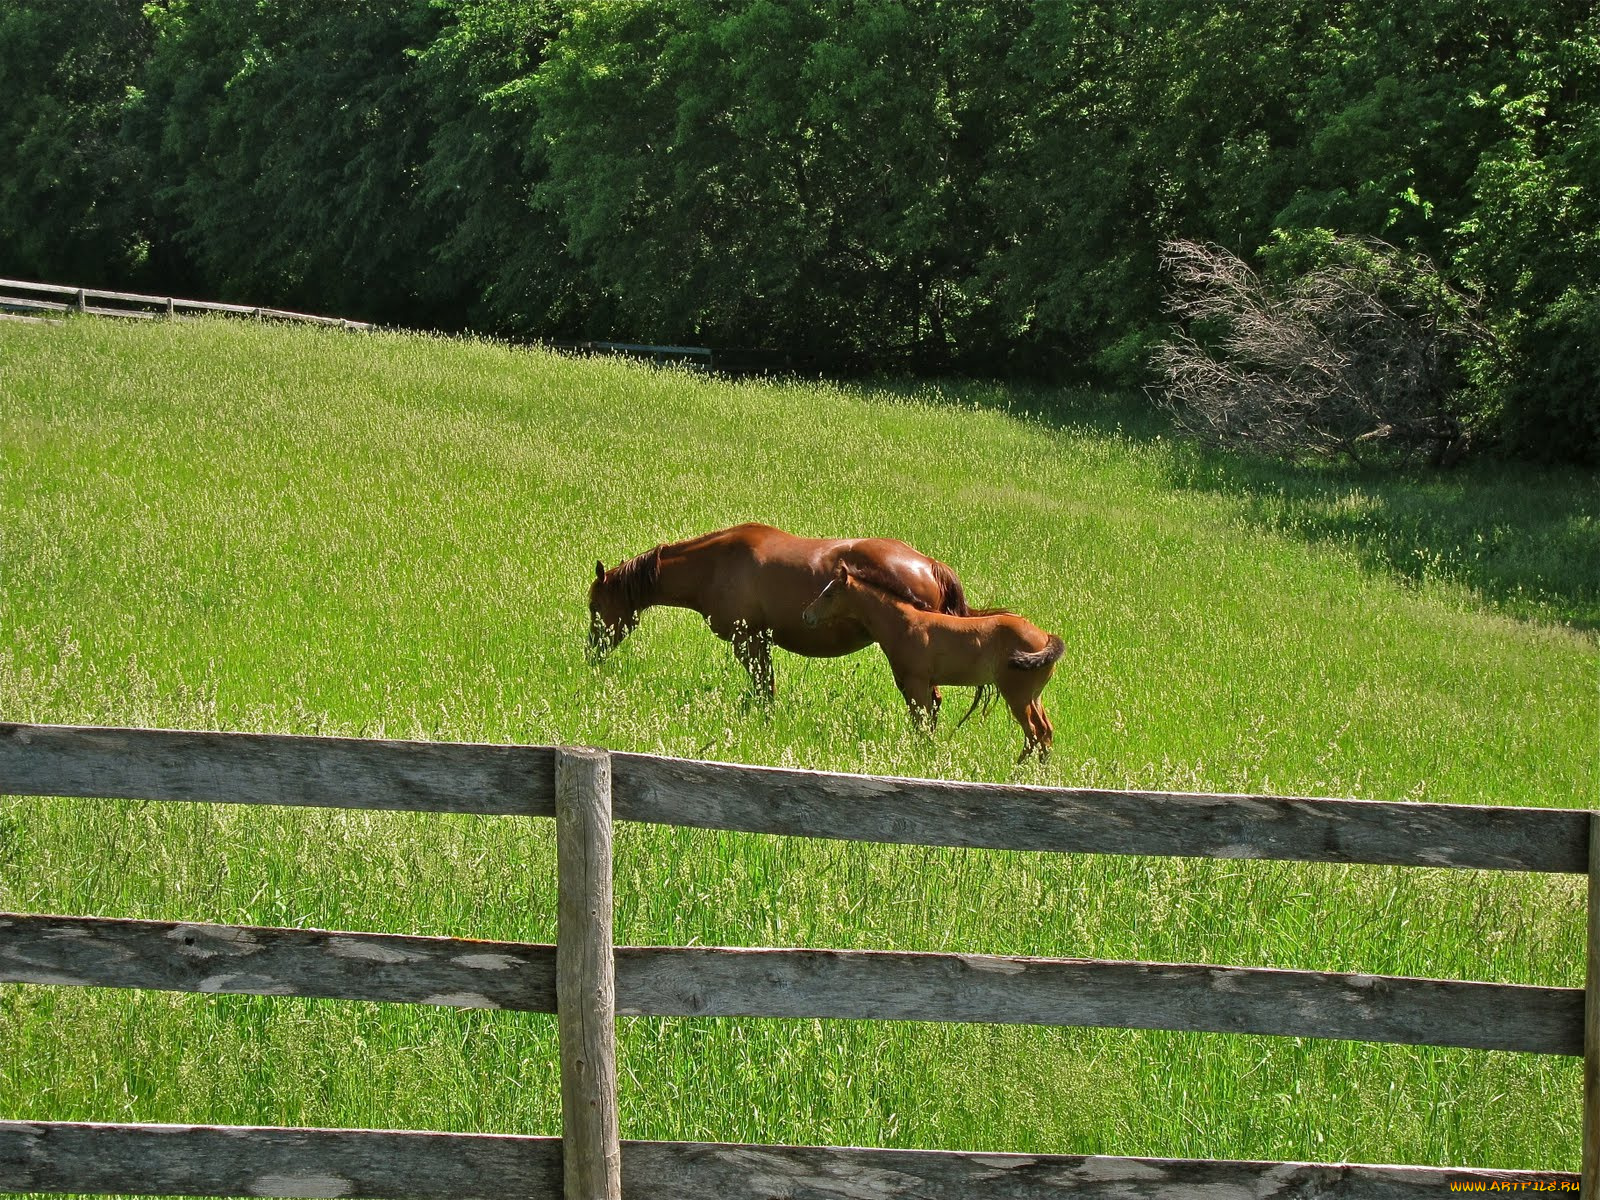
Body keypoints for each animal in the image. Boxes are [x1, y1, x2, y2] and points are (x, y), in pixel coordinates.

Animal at [582, 521, 966, 700]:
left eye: (594, 606)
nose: (591, 653)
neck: (715, 564)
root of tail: (931, 565)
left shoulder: (747, 640)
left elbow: (763, 688)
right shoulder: (761, 641)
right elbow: (766, 687)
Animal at [800, 563, 1062, 761]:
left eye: (829, 594)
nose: (806, 615)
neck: (904, 623)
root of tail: (1046, 636)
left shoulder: (916, 681)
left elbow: (921, 720)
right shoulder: (923, 683)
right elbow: (925, 721)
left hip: (1017, 694)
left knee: (1034, 733)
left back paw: (1016, 771)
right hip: (1034, 695)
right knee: (1046, 732)